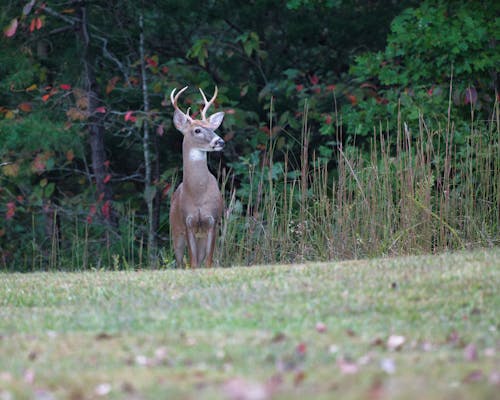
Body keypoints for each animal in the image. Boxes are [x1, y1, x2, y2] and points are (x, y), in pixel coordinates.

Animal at [170, 86, 225, 268]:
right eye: (197, 130)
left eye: (213, 128)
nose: (220, 141)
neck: (198, 194)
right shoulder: (187, 223)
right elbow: (193, 263)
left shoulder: (213, 221)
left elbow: (208, 261)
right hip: (175, 231)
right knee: (180, 262)